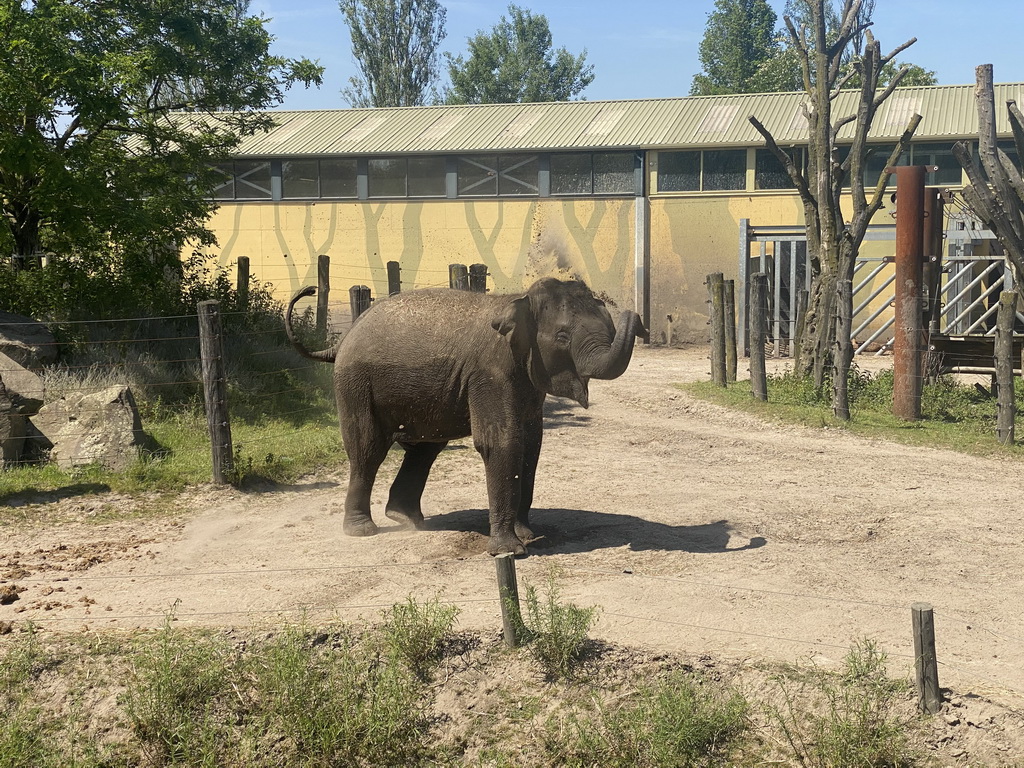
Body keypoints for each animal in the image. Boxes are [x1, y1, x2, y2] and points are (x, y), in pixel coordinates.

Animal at [284, 280, 643, 557]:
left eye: (611, 328)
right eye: (562, 337)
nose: (635, 316)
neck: (518, 301)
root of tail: (342, 340)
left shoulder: (526, 383)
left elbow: (532, 445)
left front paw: (527, 535)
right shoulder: (490, 373)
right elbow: (501, 442)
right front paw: (510, 552)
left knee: (425, 450)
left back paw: (408, 520)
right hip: (355, 384)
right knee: (367, 449)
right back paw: (363, 531)